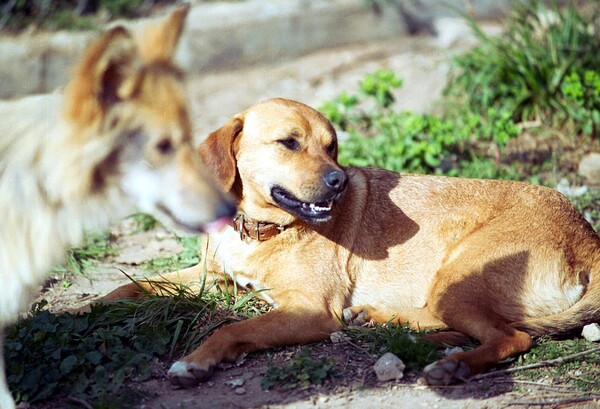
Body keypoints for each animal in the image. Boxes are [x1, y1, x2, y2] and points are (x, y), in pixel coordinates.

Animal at [105, 98, 600, 386]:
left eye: (332, 146)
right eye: (288, 143)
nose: (339, 182)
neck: (259, 231)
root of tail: (588, 234)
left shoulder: (308, 310)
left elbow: (232, 328)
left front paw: (196, 362)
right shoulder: (208, 276)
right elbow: (132, 286)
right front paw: (92, 309)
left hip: (460, 272)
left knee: (512, 336)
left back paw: (452, 365)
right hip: (451, 287)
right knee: (463, 323)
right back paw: (387, 322)